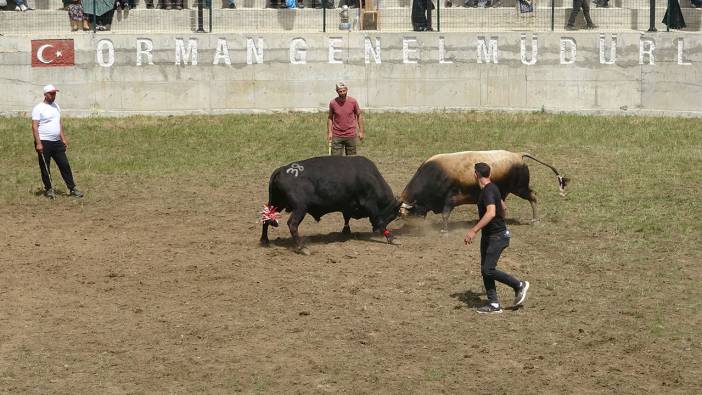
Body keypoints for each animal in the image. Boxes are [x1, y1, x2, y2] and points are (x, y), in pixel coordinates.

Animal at [260, 156, 404, 252]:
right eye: (392, 216)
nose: (375, 231)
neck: (371, 177)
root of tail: (281, 170)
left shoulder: (347, 205)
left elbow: (346, 217)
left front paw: (346, 231)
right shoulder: (370, 204)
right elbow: (378, 220)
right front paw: (391, 238)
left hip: (276, 204)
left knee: (266, 219)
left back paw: (264, 240)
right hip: (300, 208)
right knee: (292, 224)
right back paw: (302, 247)